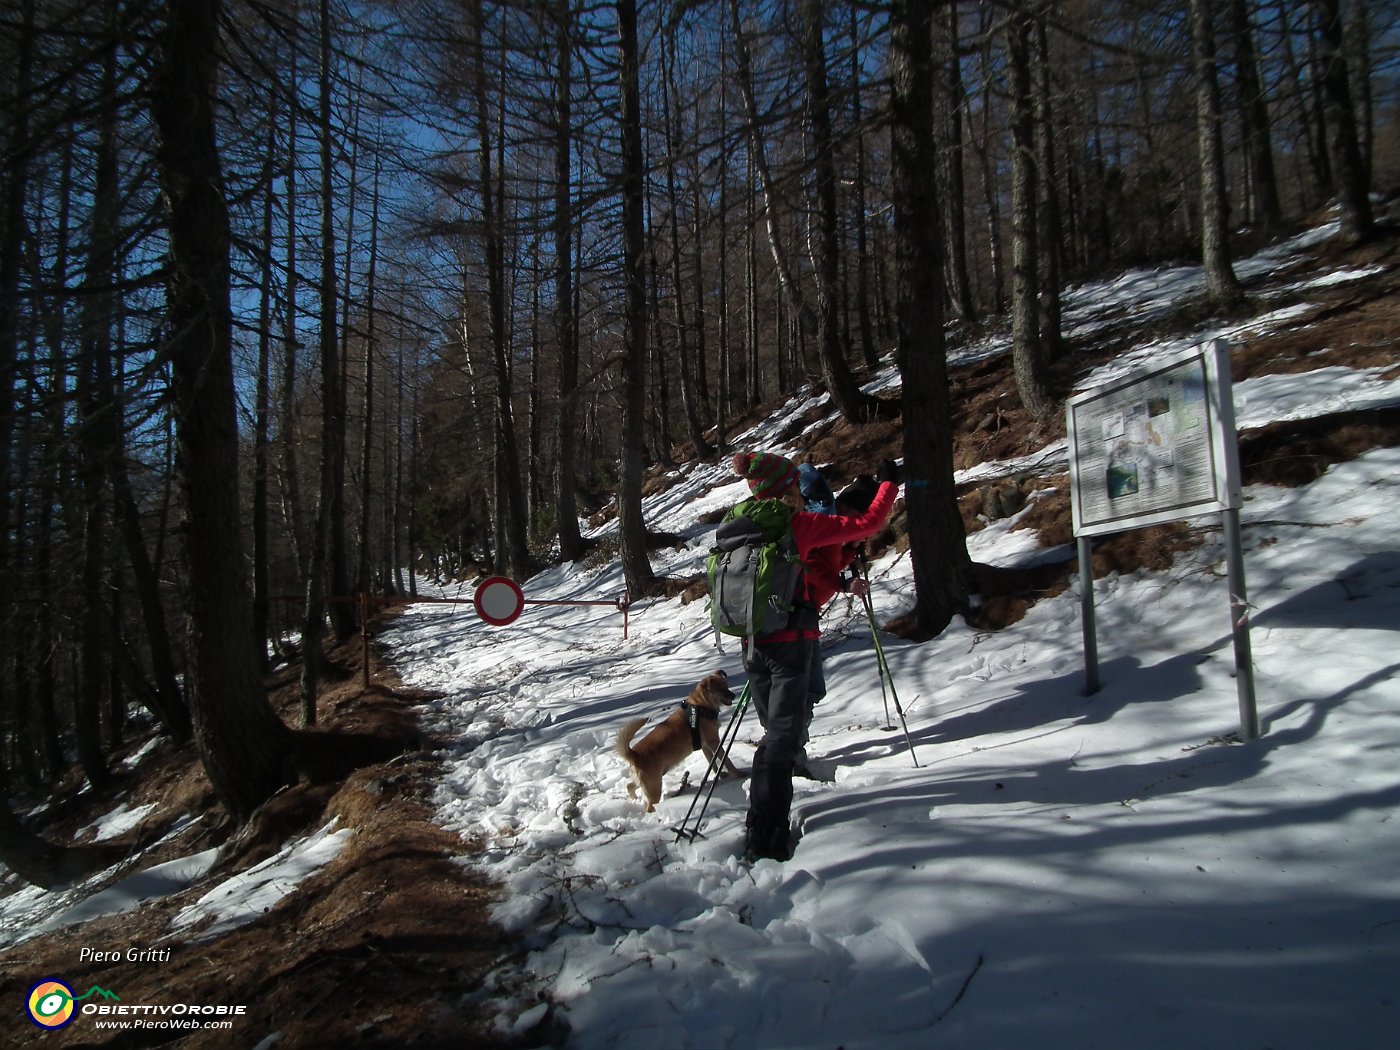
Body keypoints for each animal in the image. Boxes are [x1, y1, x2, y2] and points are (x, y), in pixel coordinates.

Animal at [616, 674, 744, 812]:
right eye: (720, 689)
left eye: (727, 685)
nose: (733, 696)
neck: (701, 707)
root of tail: (633, 754)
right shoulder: (714, 742)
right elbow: (727, 760)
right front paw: (739, 774)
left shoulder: (705, 746)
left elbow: (712, 762)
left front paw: (719, 775)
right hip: (654, 785)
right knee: (649, 806)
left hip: (646, 782)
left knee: (629, 786)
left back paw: (635, 800)